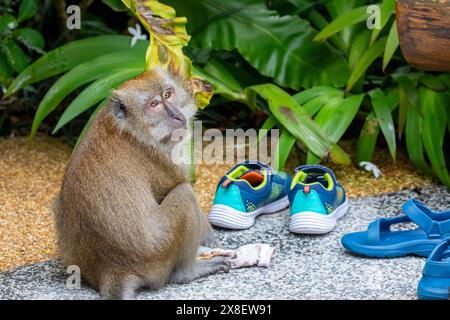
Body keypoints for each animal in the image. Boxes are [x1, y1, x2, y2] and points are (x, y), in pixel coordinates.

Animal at [53, 68, 229, 300]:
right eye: (154, 104)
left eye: (168, 94)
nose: (177, 116)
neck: (132, 127)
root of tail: (112, 269)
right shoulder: (163, 155)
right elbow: (180, 184)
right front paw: (209, 238)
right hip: (159, 254)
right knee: (184, 194)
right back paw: (187, 272)